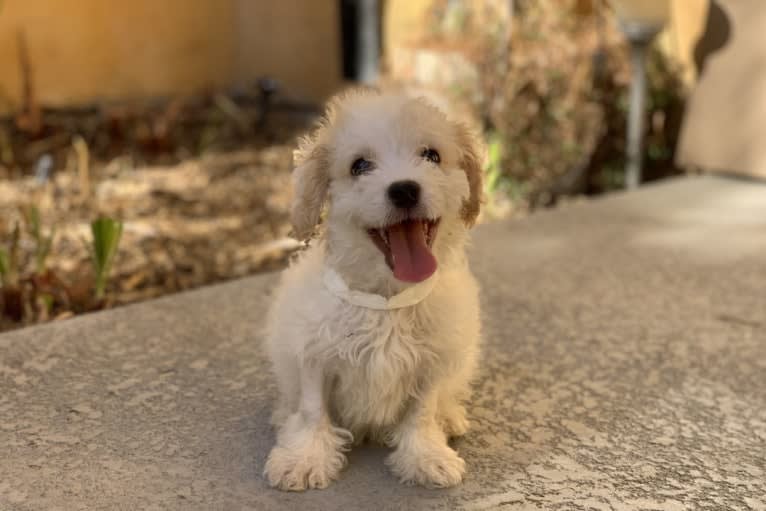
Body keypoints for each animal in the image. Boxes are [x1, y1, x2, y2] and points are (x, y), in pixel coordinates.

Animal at [264, 89, 486, 492]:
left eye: (431, 155)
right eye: (360, 166)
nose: (404, 189)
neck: (386, 300)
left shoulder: (432, 362)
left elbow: (422, 412)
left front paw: (425, 455)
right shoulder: (313, 354)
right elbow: (312, 409)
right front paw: (304, 458)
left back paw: (449, 416)